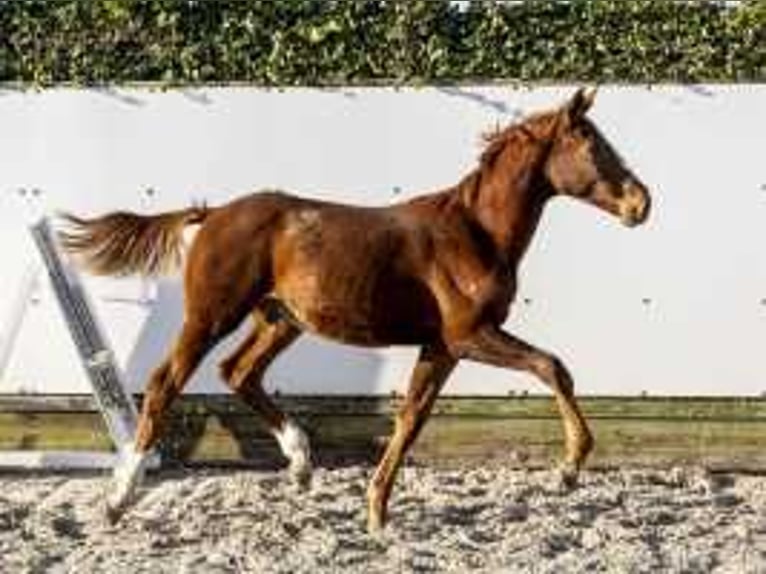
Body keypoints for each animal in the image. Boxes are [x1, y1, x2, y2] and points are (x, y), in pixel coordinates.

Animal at [60, 88, 652, 532]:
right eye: (592, 146)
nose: (640, 203)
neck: (474, 232)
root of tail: (214, 213)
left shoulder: (441, 346)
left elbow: (412, 417)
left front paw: (375, 512)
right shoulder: (468, 335)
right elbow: (552, 366)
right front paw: (570, 468)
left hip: (280, 319)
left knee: (239, 372)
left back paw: (301, 462)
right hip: (212, 315)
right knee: (166, 382)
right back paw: (119, 499)